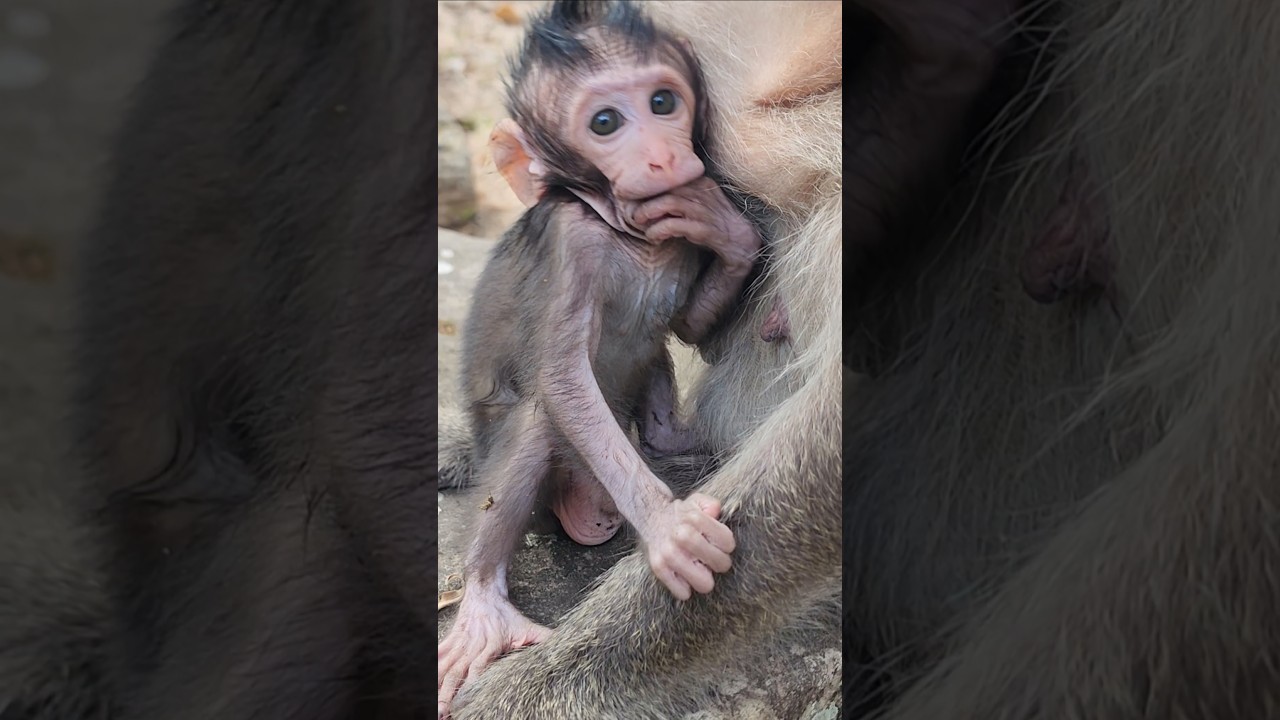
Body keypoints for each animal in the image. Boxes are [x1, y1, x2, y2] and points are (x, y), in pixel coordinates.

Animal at [436, 2, 764, 712]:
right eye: (605, 123)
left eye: (663, 102)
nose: (664, 155)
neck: (625, 232)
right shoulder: (570, 242)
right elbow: (562, 379)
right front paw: (668, 528)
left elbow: (688, 324)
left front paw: (731, 231)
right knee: (538, 422)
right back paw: (483, 604)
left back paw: (675, 438)